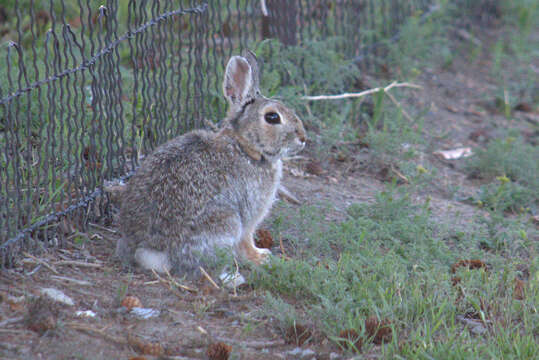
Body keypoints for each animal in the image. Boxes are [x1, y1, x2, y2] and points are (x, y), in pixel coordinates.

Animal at [115, 50, 306, 276]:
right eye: (272, 117)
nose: (303, 137)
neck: (245, 147)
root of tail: (151, 251)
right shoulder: (248, 216)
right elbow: (246, 241)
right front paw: (260, 256)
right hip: (228, 222)